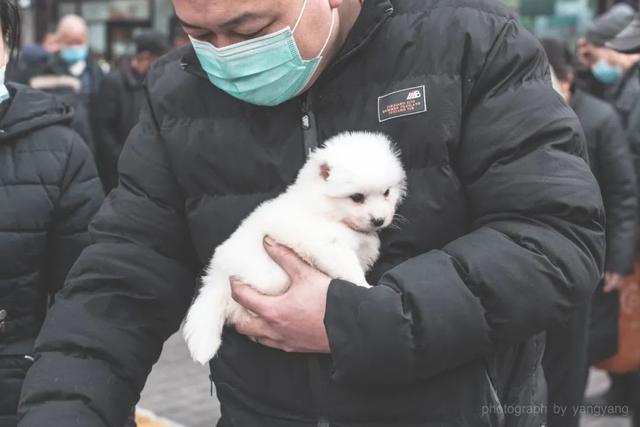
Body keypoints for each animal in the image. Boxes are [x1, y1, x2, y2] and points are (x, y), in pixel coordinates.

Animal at [182, 131, 408, 364]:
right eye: (356, 197)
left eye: (386, 192)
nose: (379, 220)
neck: (326, 209)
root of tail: (217, 279)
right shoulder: (329, 246)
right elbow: (349, 270)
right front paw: (366, 288)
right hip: (269, 278)